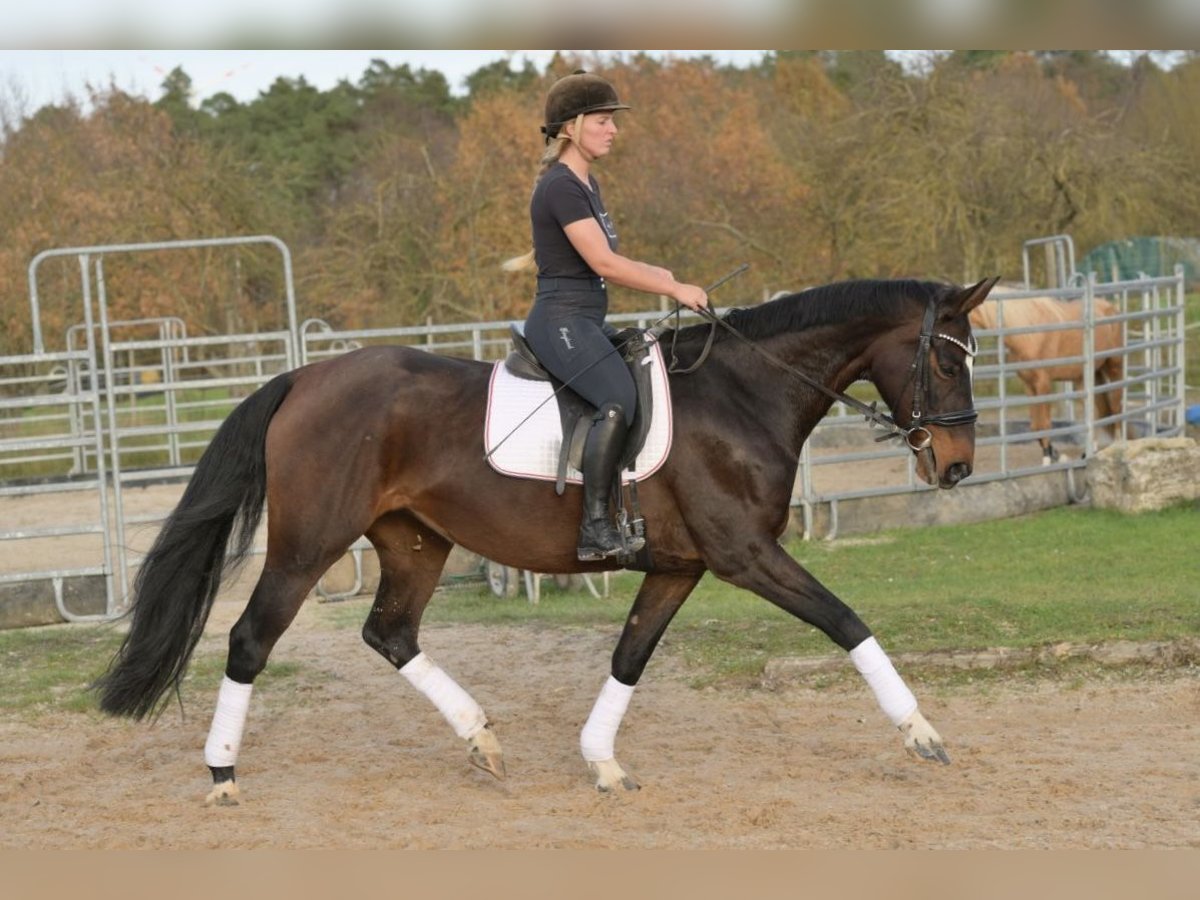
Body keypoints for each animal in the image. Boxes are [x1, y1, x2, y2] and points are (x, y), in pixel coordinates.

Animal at [93, 274, 998, 801]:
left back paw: (483, 742)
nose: (955, 466)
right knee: (251, 638)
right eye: (948, 361)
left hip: (415, 541)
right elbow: (847, 621)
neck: (744, 394)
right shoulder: (746, 556)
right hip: (309, 543)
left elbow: (629, 656)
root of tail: (305, 376)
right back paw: (222, 772)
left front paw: (601, 759)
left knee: (391, 633)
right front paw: (922, 733)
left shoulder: (679, 567)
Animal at [969, 296, 1118, 465]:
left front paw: (1048, 458)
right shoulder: (1029, 385)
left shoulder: (1043, 384)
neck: (1029, 331)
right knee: (1095, 411)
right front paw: (1056, 454)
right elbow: (1036, 426)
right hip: (1084, 379)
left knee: (1117, 404)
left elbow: (1045, 423)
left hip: (1114, 366)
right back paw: (1088, 452)